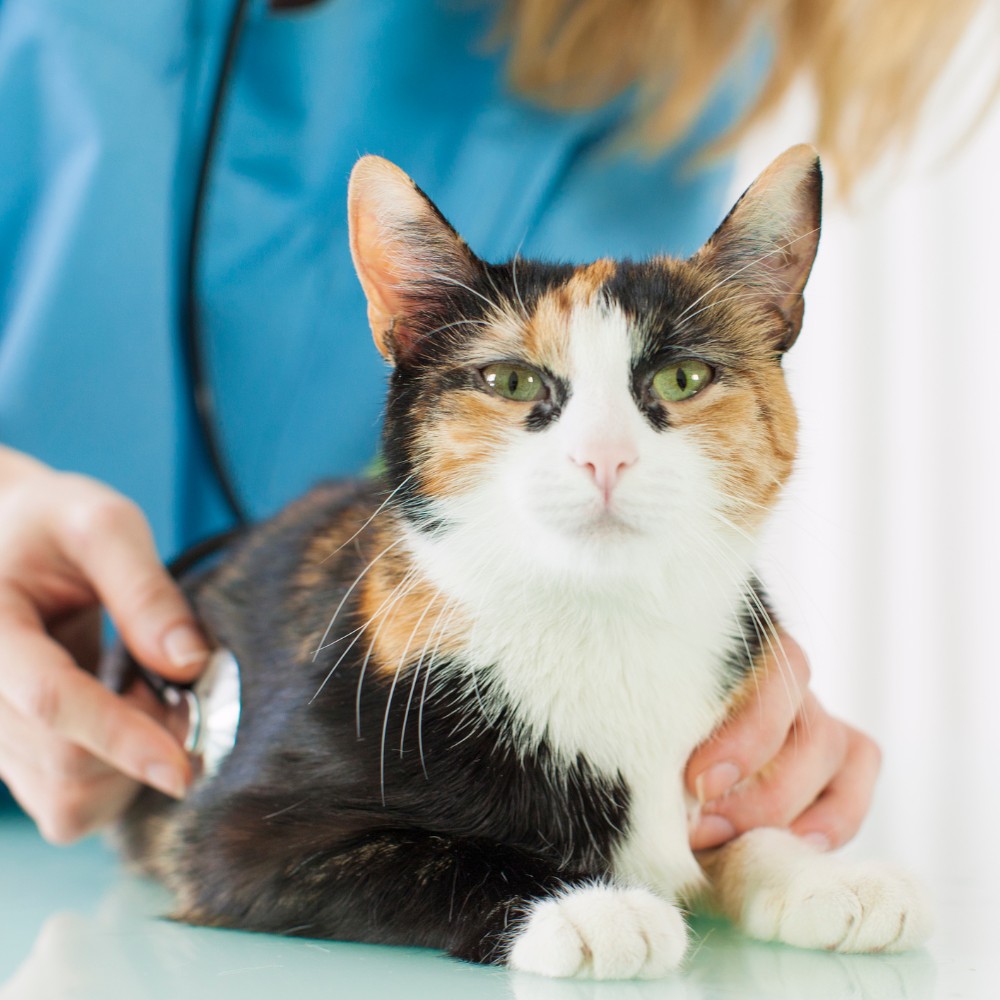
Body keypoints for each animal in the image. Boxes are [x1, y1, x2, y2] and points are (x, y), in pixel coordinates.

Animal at [115, 146, 928, 976]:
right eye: (510, 381)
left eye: (683, 378)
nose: (604, 456)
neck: (603, 624)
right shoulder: (232, 836)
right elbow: (432, 854)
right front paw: (586, 905)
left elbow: (739, 826)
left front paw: (817, 873)